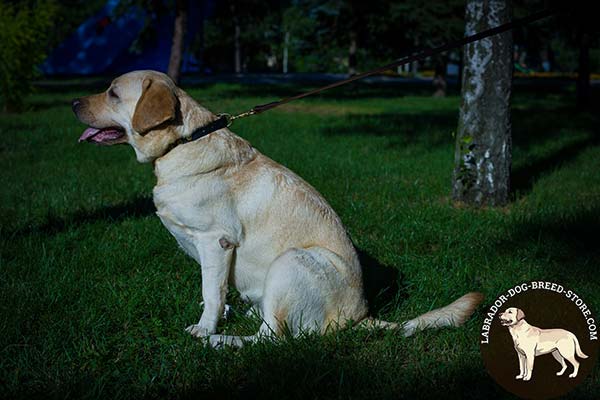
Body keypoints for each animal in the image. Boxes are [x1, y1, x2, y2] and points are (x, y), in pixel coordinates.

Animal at [72, 71, 482, 346]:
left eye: (112, 93)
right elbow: (217, 291)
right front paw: (219, 315)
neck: (181, 142)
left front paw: (206, 327)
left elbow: (211, 293)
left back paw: (222, 342)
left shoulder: (215, 241)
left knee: (272, 339)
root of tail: (360, 317)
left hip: (291, 261)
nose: (73, 102)